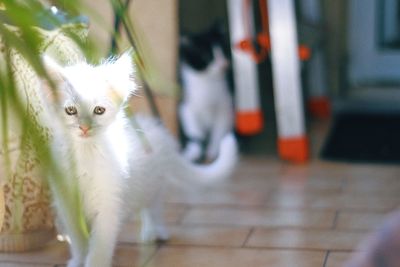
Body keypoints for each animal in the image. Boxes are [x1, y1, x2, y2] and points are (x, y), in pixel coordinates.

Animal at [39, 52, 238, 267]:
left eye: (99, 110)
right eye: (71, 111)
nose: (84, 127)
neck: (84, 154)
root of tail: (160, 131)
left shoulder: (108, 203)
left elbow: (100, 244)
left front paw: (95, 262)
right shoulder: (68, 205)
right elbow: (78, 241)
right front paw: (78, 261)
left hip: (155, 187)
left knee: (153, 209)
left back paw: (155, 232)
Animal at [179, 25, 234, 162]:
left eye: (223, 51)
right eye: (208, 55)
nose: (223, 65)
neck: (207, 82)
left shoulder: (225, 107)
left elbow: (218, 132)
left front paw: (212, 153)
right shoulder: (186, 106)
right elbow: (194, 132)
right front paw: (193, 153)